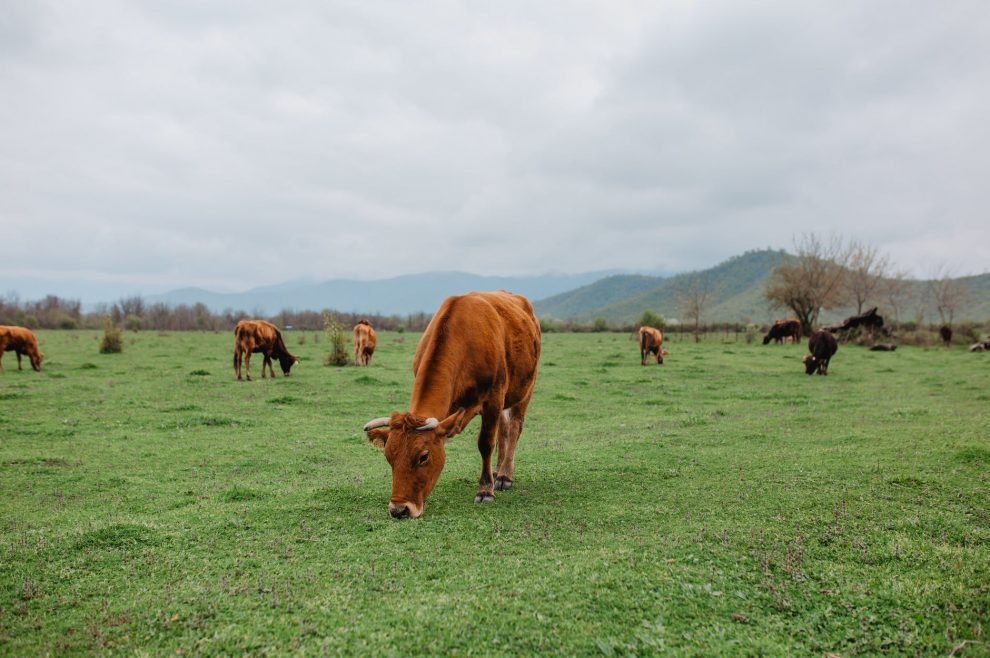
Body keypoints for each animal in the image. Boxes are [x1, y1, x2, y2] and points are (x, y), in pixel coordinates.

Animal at [362, 290, 540, 516]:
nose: (399, 509)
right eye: (388, 457)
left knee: (515, 428)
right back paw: (497, 471)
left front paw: (485, 491)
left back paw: (504, 476)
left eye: (423, 456)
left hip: (525, 390)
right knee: (504, 430)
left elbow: (486, 443)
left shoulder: (494, 398)